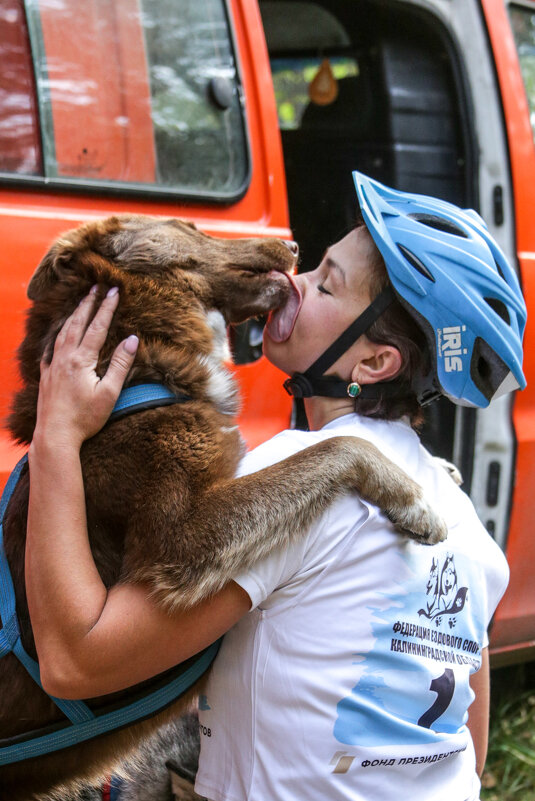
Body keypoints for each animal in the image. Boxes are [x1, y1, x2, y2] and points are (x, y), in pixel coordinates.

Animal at [0, 216, 444, 800]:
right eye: (187, 226)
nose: (295, 245)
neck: (134, 368)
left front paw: (444, 472)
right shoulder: (181, 537)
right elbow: (336, 445)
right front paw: (416, 499)